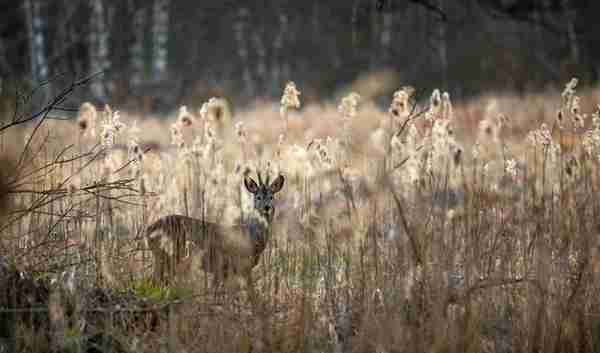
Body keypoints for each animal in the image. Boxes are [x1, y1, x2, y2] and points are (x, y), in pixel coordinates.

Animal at [146, 170, 284, 286]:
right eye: (258, 197)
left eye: (271, 196)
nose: (267, 207)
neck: (251, 236)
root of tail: (149, 230)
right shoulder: (230, 266)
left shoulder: (229, 271)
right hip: (170, 255)